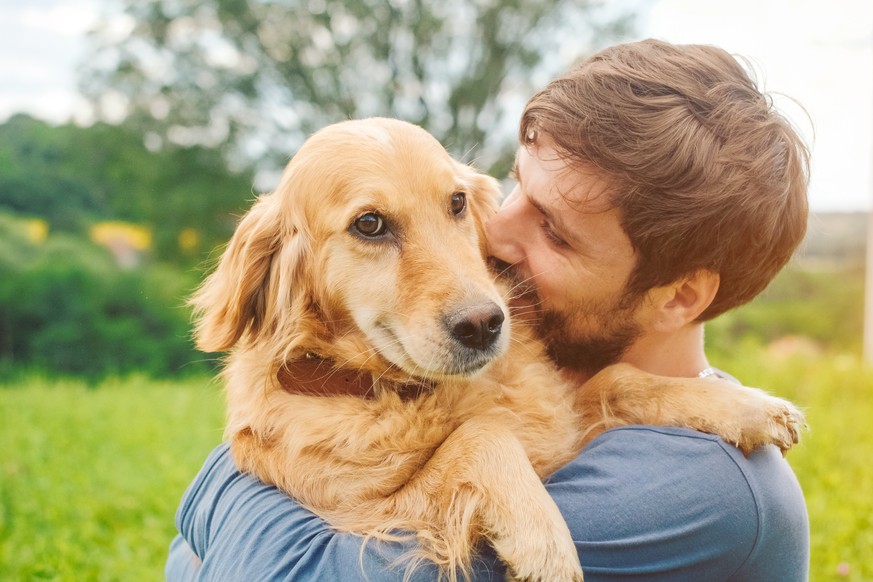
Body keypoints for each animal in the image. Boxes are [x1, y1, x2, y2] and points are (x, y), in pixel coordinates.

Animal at [191, 118, 804, 582]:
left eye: (457, 202)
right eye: (369, 224)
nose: (485, 324)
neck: (405, 391)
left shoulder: (567, 422)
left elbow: (618, 378)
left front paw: (745, 406)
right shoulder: (374, 515)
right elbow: (482, 435)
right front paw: (545, 541)